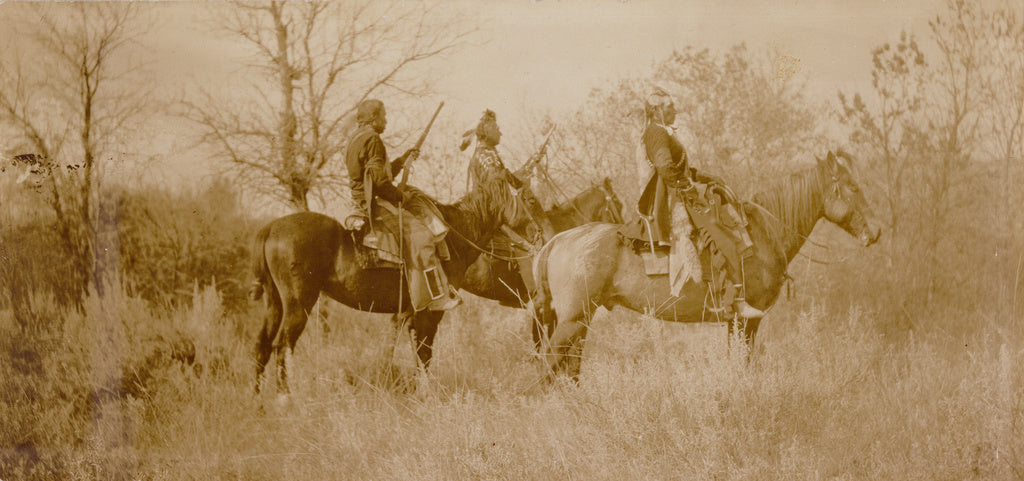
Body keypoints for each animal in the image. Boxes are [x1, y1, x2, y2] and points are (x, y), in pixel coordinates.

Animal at [248, 178, 548, 392]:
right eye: (531, 200)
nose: (540, 234)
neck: (453, 235)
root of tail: (270, 229)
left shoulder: (409, 314)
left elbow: (414, 351)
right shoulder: (430, 312)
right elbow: (424, 352)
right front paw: (426, 393)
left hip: (275, 304)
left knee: (262, 345)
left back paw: (259, 403)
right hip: (299, 305)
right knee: (282, 347)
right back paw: (285, 400)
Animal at [536, 152, 880, 378]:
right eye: (852, 187)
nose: (875, 232)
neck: (763, 233)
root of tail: (558, 240)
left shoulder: (736, 322)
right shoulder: (746, 319)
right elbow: (743, 362)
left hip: (581, 321)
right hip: (572, 320)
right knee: (547, 365)